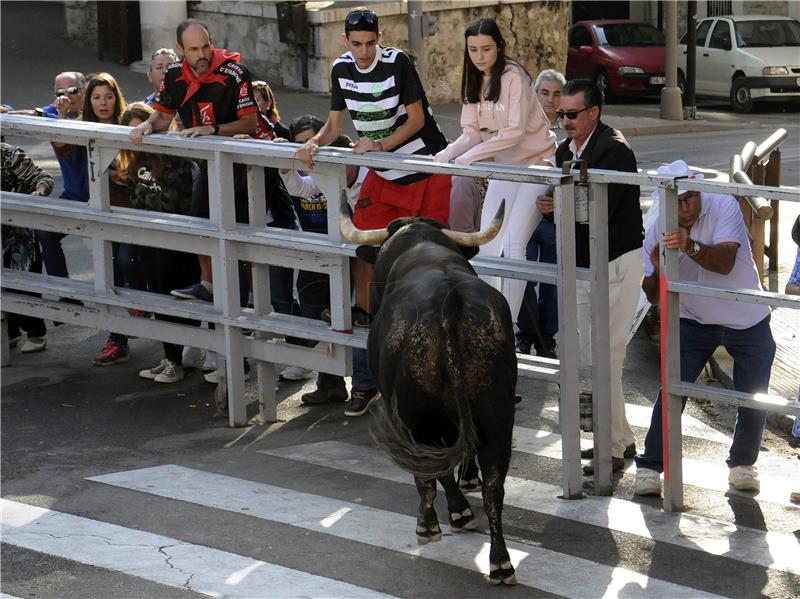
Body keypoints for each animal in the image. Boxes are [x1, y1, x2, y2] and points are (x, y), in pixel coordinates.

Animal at [350, 205, 520, 584]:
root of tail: (450, 302)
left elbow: (435, 476)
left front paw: (454, 514)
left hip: (422, 421)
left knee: (431, 473)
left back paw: (430, 526)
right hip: (497, 416)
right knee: (494, 486)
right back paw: (500, 562)